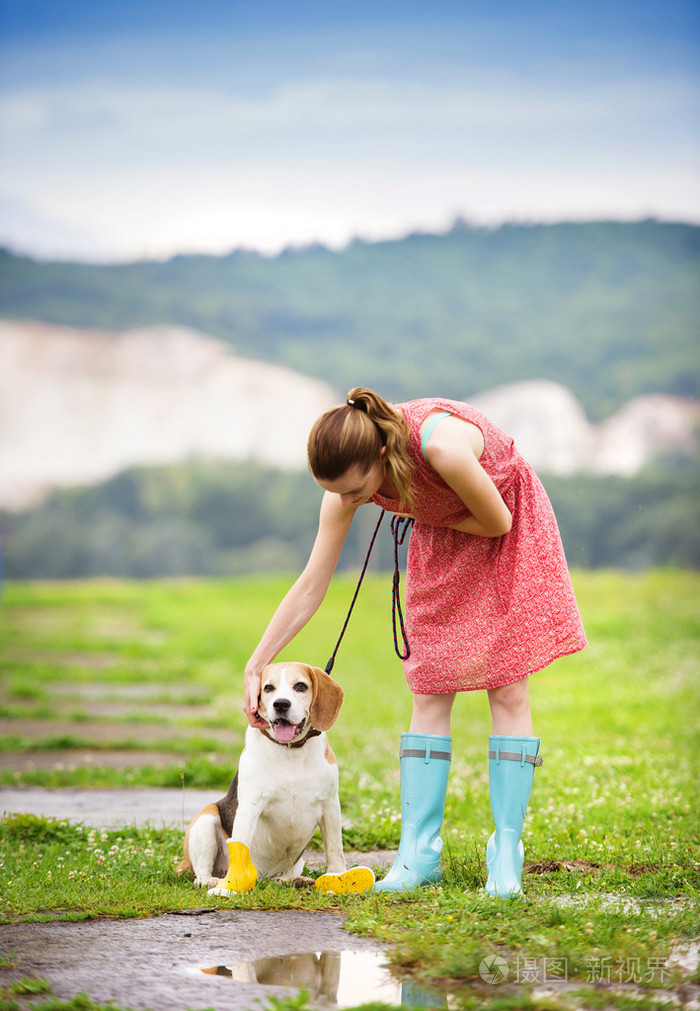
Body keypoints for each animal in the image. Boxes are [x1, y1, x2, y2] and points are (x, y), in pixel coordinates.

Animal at [178, 663, 374, 893]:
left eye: (300, 686)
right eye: (268, 688)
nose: (281, 704)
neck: (290, 750)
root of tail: (262, 877)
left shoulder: (330, 805)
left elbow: (335, 848)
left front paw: (337, 878)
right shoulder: (250, 805)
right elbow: (241, 843)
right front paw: (231, 885)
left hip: (297, 862)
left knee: (284, 876)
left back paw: (293, 880)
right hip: (206, 821)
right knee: (201, 870)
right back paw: (210, 880)